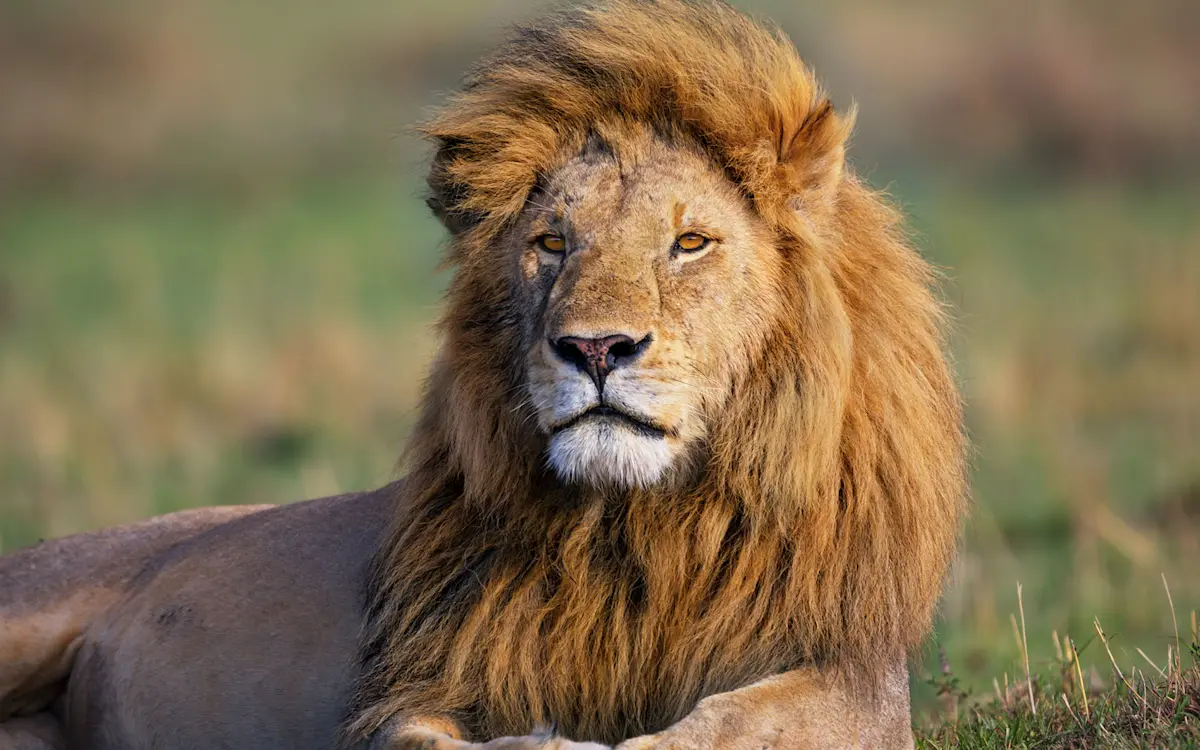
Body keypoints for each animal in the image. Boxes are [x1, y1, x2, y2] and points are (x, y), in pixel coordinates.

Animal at [0, 1, 966, 748]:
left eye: (690, 242)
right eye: (552, 243)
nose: (596, 349)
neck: (636, 528)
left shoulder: (851, 671)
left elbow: (733, 724)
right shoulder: (415, 686)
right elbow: (430, 734)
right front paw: (540, 739)